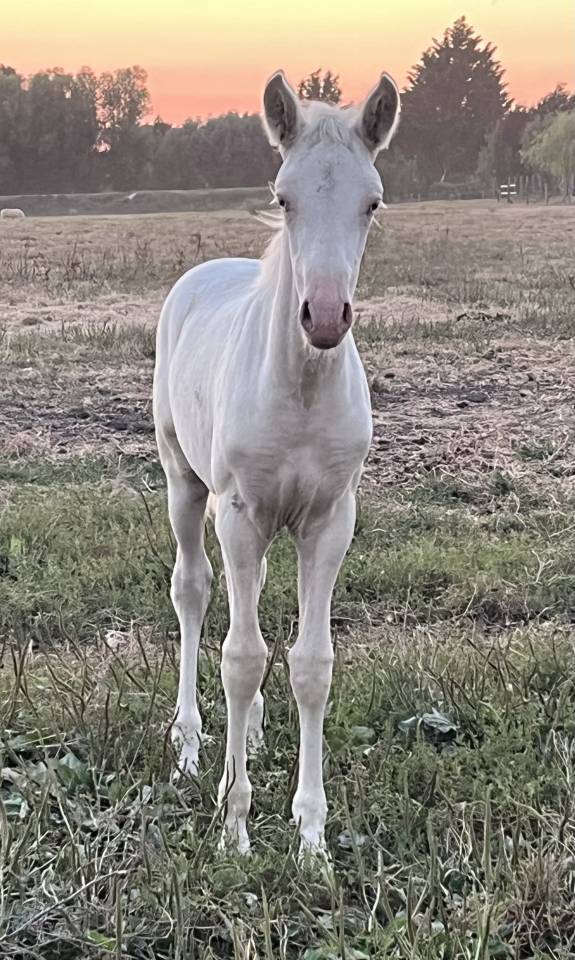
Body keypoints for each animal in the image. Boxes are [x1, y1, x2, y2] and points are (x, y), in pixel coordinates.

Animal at [153, 69, 400, 856]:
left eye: (371, 201)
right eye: (282, 197)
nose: (322, 317)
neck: (299, 389)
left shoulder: (328, 520)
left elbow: (311, 664)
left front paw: (311, 837)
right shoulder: (238, 512)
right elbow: (239, 658)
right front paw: (233, 824)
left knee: (252, 595)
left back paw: (255, 734)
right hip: (184, 482)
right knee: (194, 592)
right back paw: (189, 745)